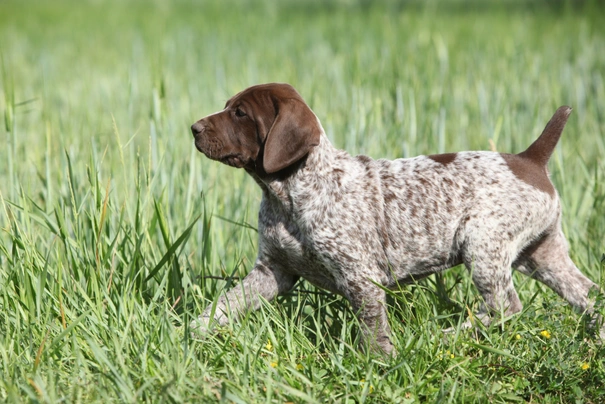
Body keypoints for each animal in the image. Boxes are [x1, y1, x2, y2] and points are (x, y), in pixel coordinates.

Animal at [189, 83, 600, 356]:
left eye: (240, 113)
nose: (194, 128)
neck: (289, 193)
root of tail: (530, 158)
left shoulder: (360, 277)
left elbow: (373, 330)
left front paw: (378, 364)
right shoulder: (272, 271)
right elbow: (224, 306)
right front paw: (190, 331)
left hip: (482, 243)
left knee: (505, 306)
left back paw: (446, 335)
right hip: (542, 255)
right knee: (589, 294)